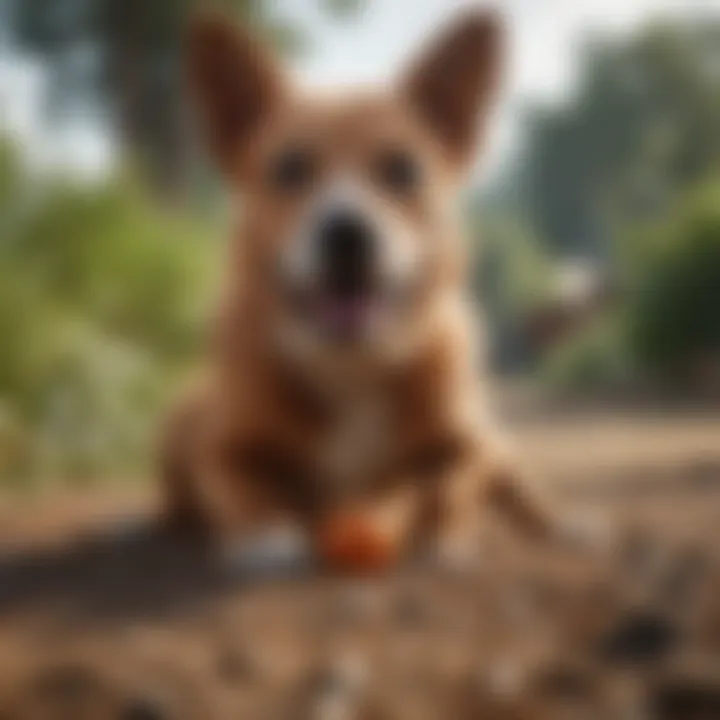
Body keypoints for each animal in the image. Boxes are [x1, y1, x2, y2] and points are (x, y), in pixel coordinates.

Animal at [159, 8, 584, 572]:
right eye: (289, 168)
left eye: (402, 169)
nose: (347, 233)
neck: (352, 364)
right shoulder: (224, 451)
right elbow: (239, 483)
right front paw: (266, 532)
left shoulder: (467, 446)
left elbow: (453, 485)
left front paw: (442, 536)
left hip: (497, 440)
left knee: (515, 485)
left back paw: (563, 525)